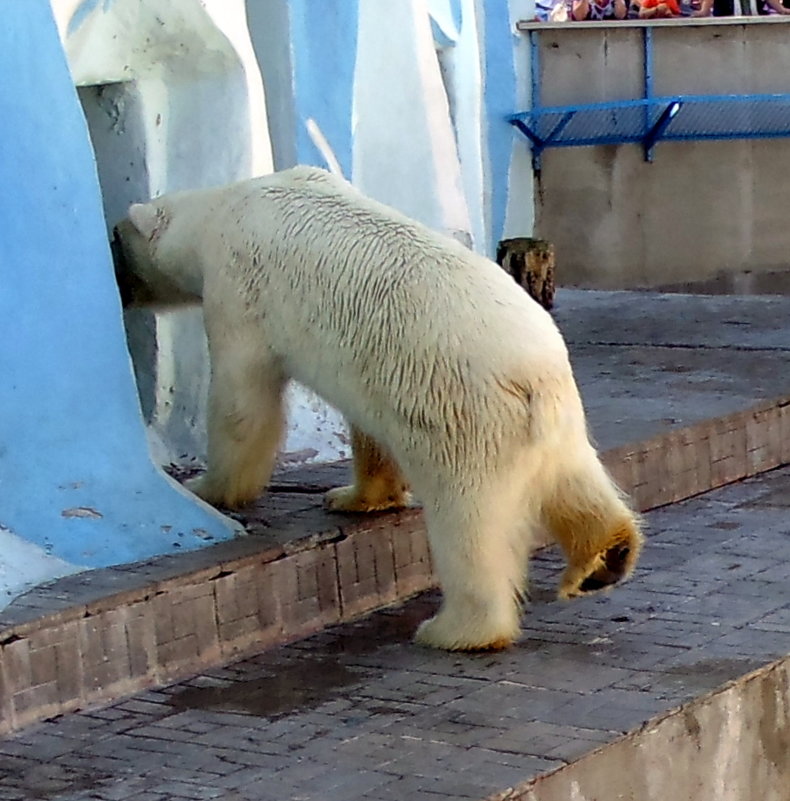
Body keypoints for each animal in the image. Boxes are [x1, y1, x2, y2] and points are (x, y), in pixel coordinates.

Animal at [113, 167, 644, 648]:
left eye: (117, 242)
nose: (118, 290)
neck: (219, 209)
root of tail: (534, 377)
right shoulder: (379, 372)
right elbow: (371, 428)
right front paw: (353, 497)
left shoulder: (238, 289)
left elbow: (241, 402)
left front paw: (209, 487)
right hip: (556, 420)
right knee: (575, 483)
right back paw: (606, 557)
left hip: (469, 419)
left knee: (470, 528)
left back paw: (455, 630)